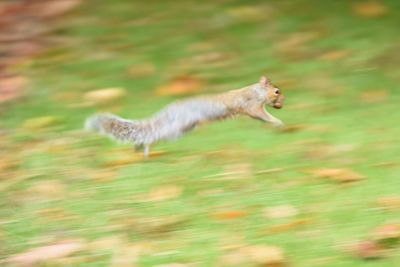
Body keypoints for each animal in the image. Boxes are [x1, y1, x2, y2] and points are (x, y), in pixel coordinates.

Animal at [85, 75, 284, 158]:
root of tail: (170, 111)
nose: (282, 101)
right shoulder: (252, 106)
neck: (256, 91)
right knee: (154, 135)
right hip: (175, 129)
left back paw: (139, 147)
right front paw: (277, 122)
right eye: (276, 91)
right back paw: (144, 147)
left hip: (185, 128)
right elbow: (261, 114)